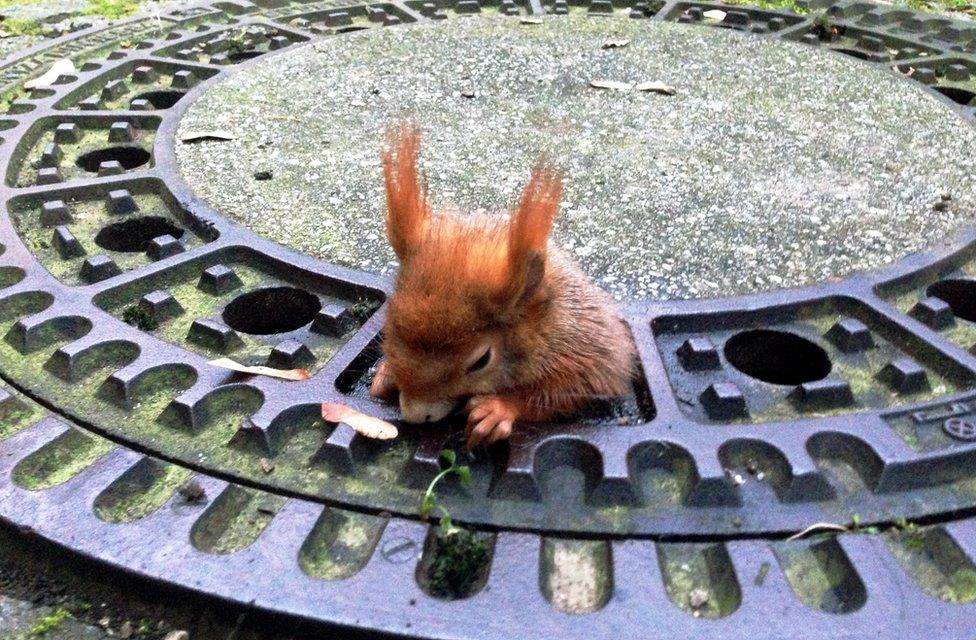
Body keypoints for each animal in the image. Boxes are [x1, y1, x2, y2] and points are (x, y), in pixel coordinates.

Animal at [370, 122, 636, 448]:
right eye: (387, 325)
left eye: (481, 360)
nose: (415, 415)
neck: (540, 323)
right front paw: (385, 374)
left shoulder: (581, 345)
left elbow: (572, 387)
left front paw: (497, 410)